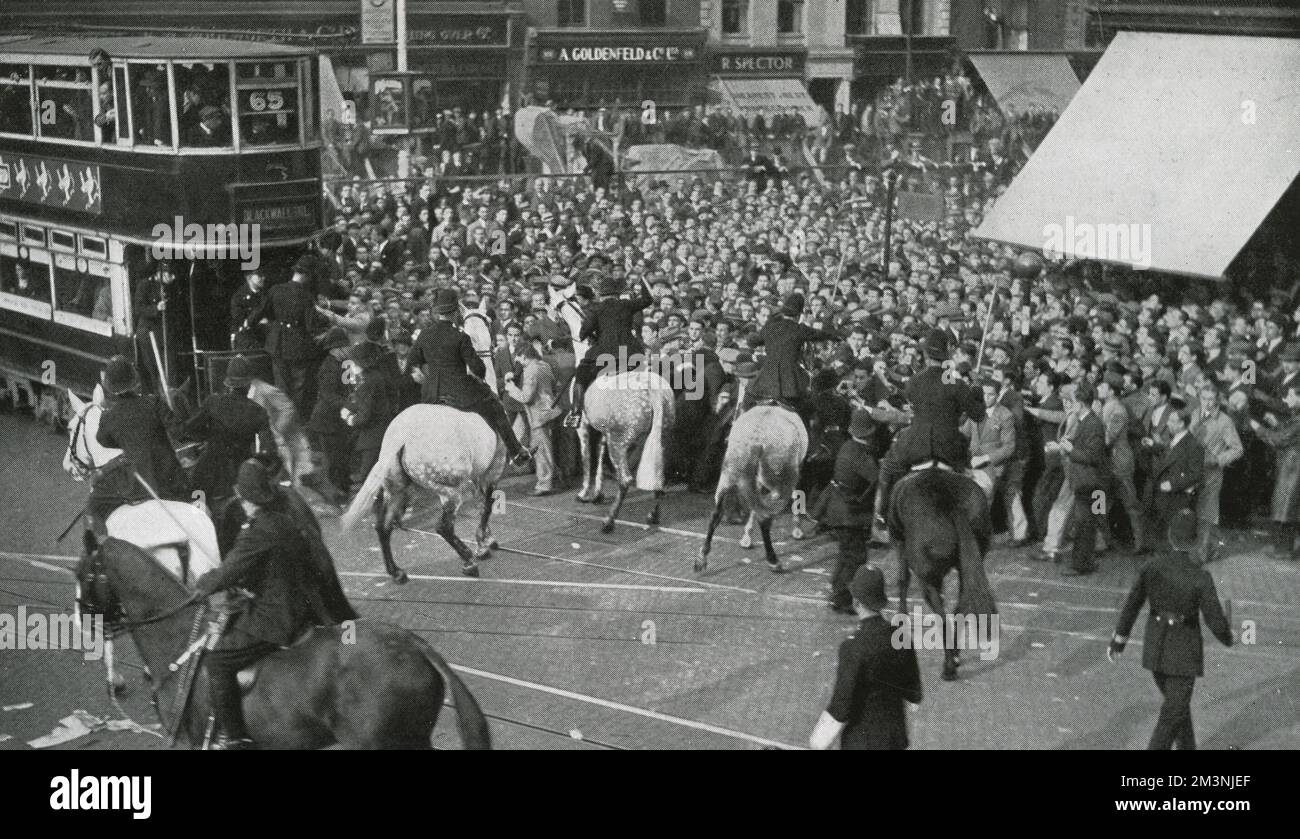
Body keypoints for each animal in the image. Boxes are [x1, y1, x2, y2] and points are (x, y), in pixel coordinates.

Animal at [889, 470, 998, 681]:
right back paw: (954, 655)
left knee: (942, 616)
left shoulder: (900, 543)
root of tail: (951, 502)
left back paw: (949, 667)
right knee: (961, 606)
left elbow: (903, 579)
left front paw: (902, 618)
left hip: (929, 579)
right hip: (966, 567)